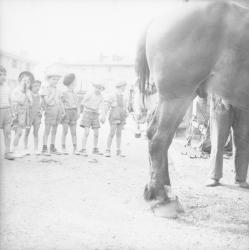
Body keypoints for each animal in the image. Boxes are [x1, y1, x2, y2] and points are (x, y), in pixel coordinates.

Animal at [135, 0, 249, 218]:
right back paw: (161, 197)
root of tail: (159, 18)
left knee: (156, 135)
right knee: (159, 140)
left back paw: (163, 190)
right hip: (178, 97)